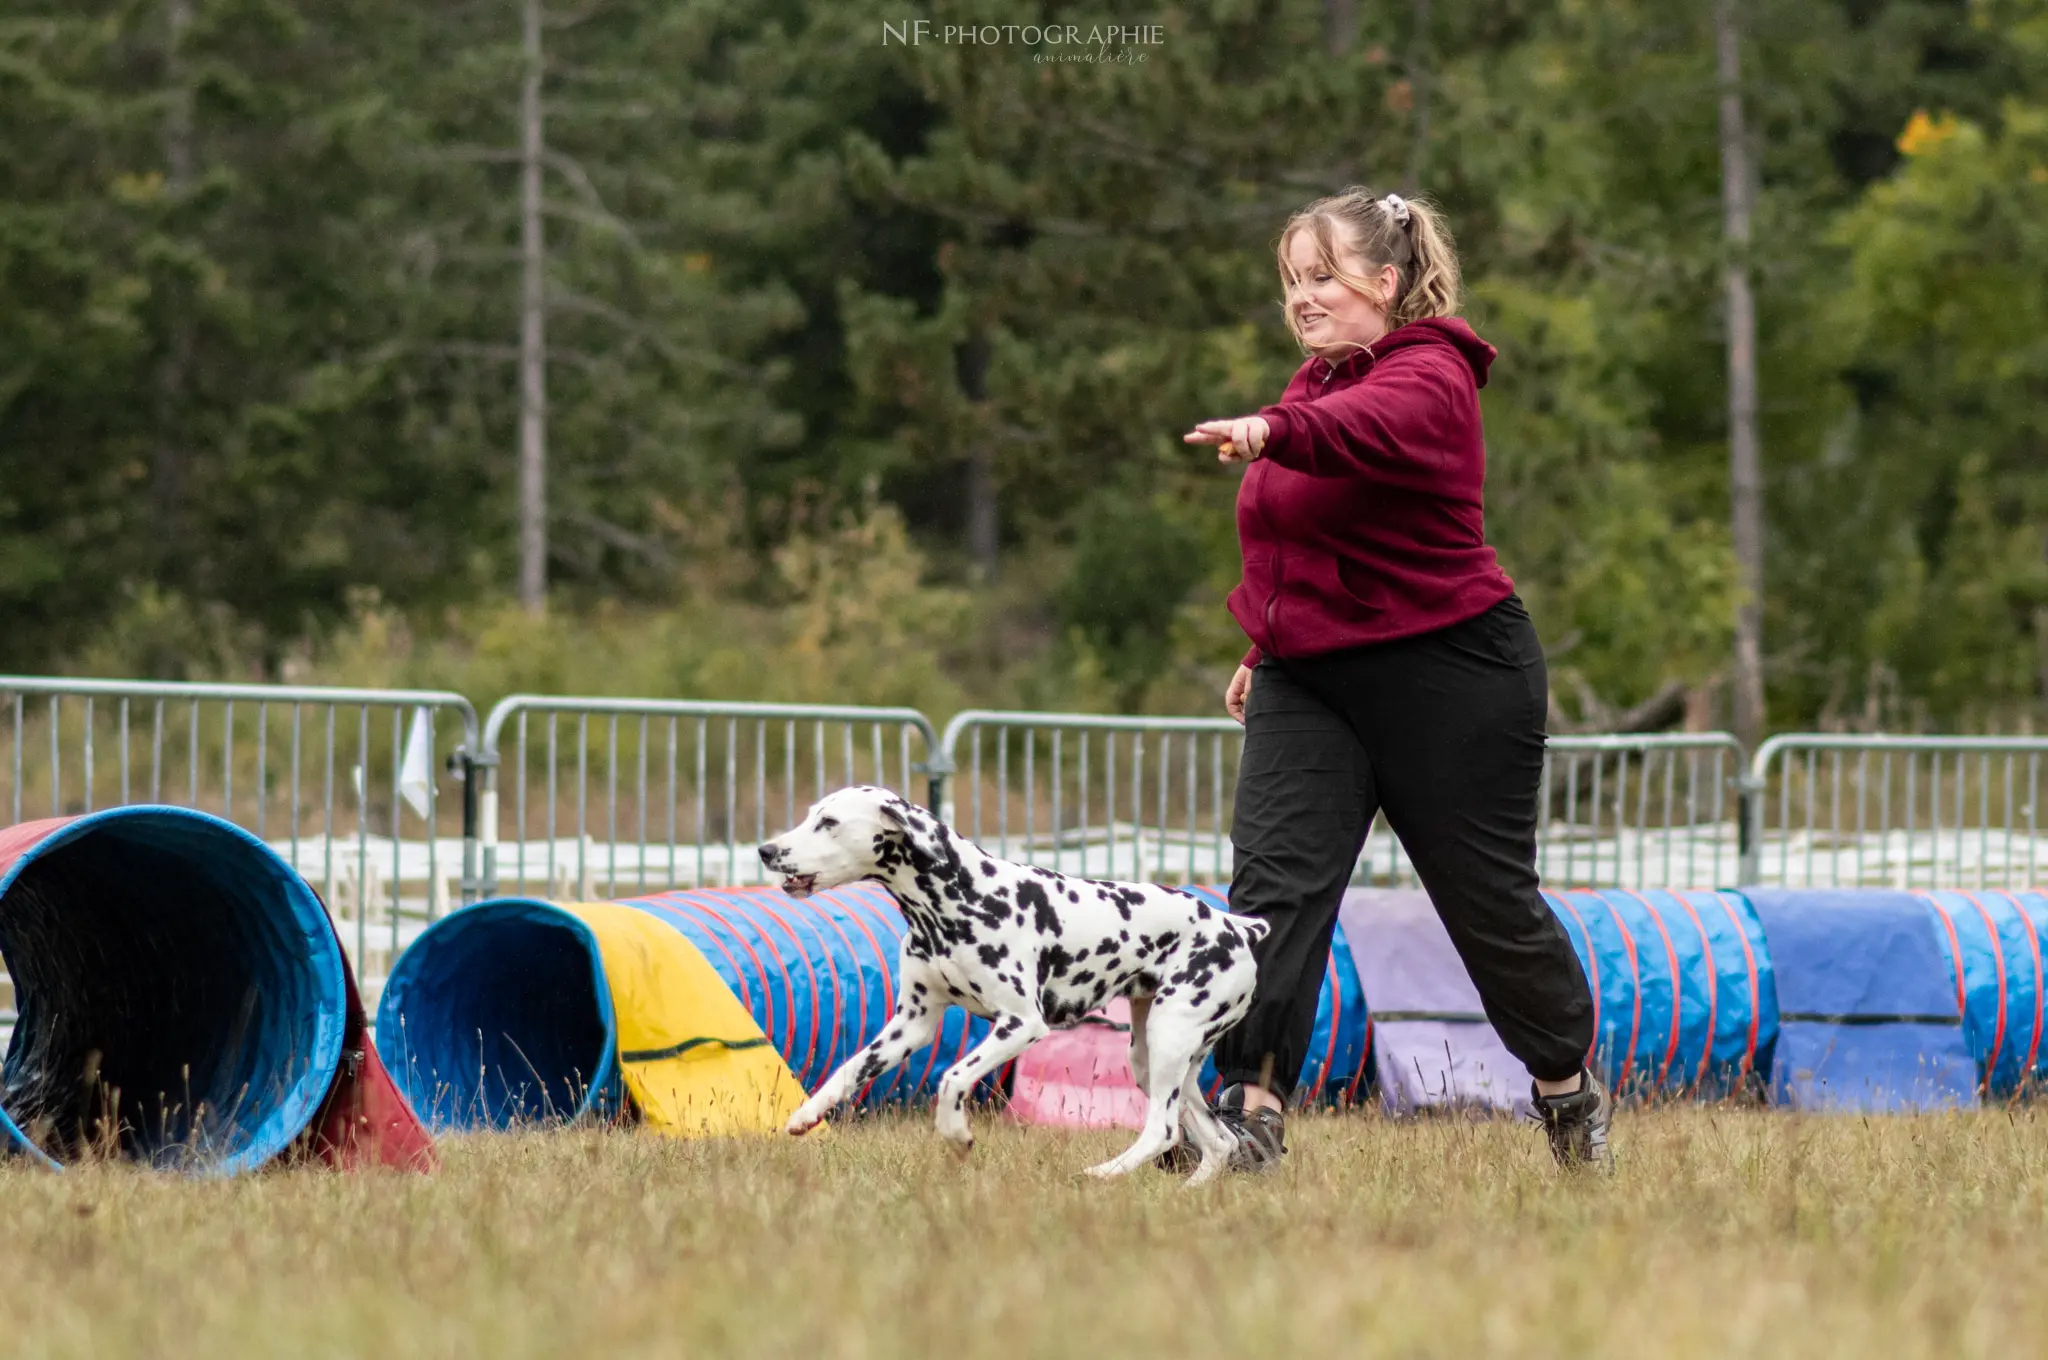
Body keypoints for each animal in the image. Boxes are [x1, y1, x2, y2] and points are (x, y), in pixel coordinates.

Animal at [753, 786, 1261, 1179]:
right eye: (811, 815)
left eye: (829, 822)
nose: (766, 850)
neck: (958, 897)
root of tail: (1236, 926)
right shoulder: (911, 1024)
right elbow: (850, 1069)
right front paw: (806, 1115)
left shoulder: (1019, 1024)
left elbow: (952, 1079)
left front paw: (957, 1135)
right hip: (1152, 1058)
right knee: (1220, 1142)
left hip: (1169, 1038)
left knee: (1163, 1129)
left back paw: (1100, 1176)